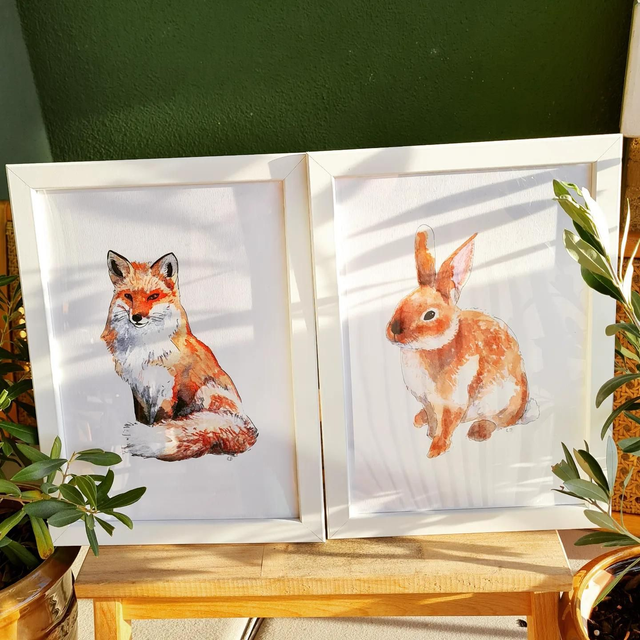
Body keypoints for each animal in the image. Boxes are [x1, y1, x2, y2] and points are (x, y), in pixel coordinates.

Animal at [101, 250, 258, 462]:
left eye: (153, 296)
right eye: (128, 296)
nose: (137, 317)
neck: (144, 347)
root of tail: (248, 428)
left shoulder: (167, 385)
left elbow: (162, 418)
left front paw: (156, 436)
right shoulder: (138, 385)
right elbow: (141, 416)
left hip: (206, 393)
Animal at [386, 226, 538, 458]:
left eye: (429, 315)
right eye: (403, 302)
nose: (394, 330)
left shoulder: (453, 402)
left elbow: (447, 426)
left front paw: (435, 450)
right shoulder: (426, 400)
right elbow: (433, 419)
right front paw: (429, 433)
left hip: (505, 400)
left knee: (501, 421)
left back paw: (478, 431)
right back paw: (419, 419)